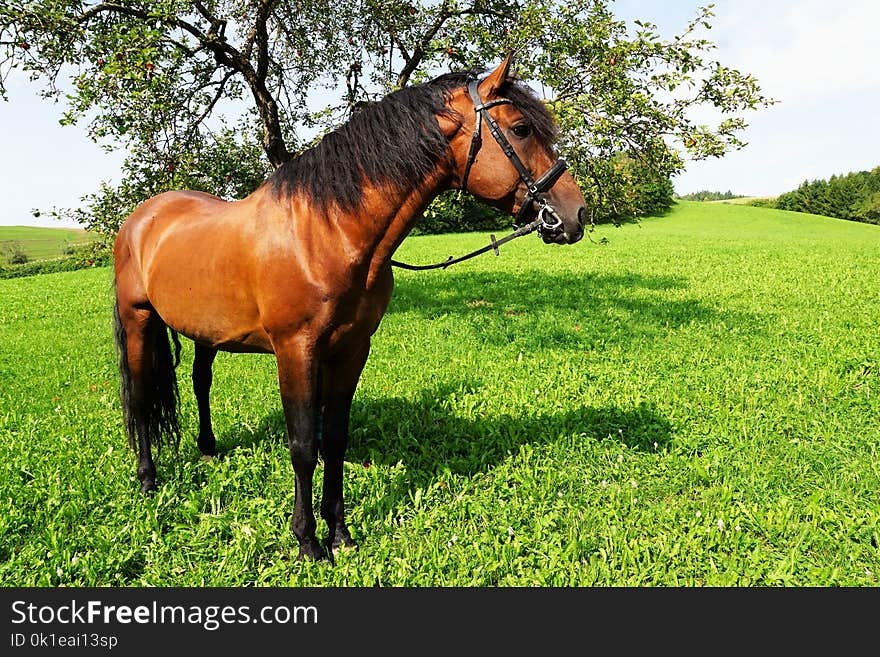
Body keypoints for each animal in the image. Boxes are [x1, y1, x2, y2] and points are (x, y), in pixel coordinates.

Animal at [113, 53, 588, 560]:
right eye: (520, 129)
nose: (575, 214)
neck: (327, 231)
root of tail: (141, 218)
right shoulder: (295, 351)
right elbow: (303, 445)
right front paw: (307, 541)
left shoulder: (352, 348)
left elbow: (334, 439)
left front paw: (339, 532)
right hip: (138, 320)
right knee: (139, 397)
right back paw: (148, 480)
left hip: (207, 332)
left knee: (200, 382)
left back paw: (207, 447)